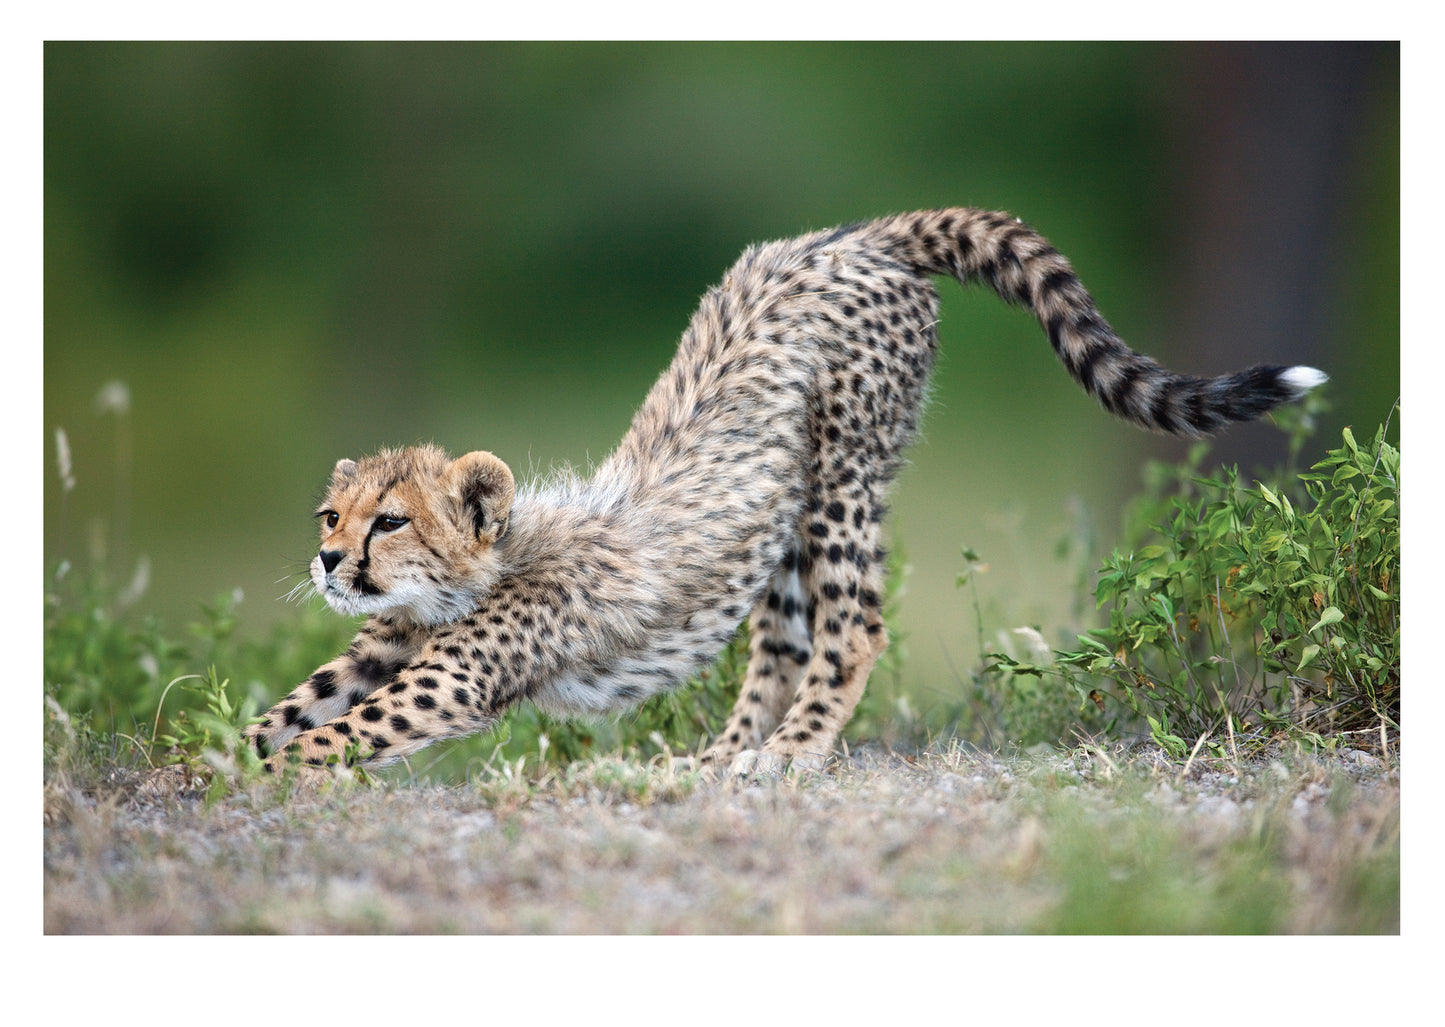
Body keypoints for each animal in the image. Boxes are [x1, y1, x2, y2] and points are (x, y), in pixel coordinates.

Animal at [247, 207, 1326, 780]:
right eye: (332, 516)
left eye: (390, 521)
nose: (328, 561)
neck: (476, 571)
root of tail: (851, 234)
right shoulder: (385, 645)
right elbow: (296, 703)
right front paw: (225, 749)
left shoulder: (453, 675)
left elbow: (341, 730)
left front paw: (265, 769)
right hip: (783, 512)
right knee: (784, 640)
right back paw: (721, 754)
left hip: (843, 473)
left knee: (850, 630)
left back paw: (788, 752)